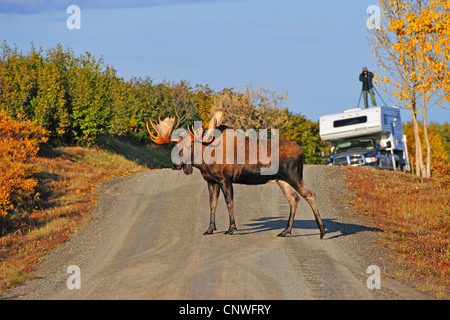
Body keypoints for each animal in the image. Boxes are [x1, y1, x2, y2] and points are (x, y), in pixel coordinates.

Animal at [148, 111, 326, 239]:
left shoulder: (225, 179)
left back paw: (322, 231)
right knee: (294, 199)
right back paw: (285, 231)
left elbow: (229, 203)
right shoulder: (211, 181)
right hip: (282, 180)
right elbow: (212, 204)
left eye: (189, 145)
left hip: (294, 175)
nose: (175, 165)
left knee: (309, 194)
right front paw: (209, 229)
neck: (204, 160)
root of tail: (302, 152)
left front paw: (231, 228)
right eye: (176, 145)